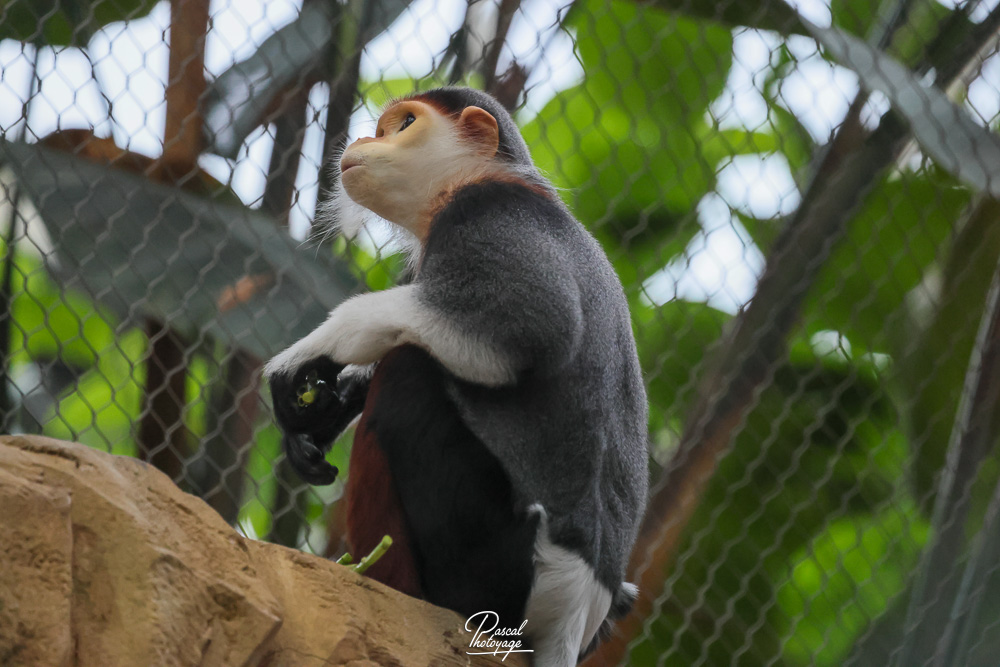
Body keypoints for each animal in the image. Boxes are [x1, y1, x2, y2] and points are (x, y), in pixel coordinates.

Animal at [264, 87, 649, 667]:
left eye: (404, 124)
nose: (364, 140)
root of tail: (579, 609)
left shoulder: (486, 213)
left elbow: (532, 325)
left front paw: (310, 353)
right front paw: (326, 411)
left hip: (495, 568)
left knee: (409, 372)